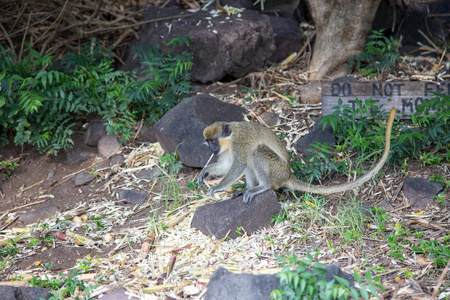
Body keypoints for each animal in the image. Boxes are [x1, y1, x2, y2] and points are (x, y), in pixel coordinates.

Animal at [199, 106, 396, 203]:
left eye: (213, 141)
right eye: (207, 142)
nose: (210, 149)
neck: (230, 137)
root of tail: (288, 175)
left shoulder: (241, 142)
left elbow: (238, 165)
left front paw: (217, 187)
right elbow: (227, 165)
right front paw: (205, 172)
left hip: (277, 171)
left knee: (256, 153)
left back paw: (261, 187)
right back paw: (247, 189)